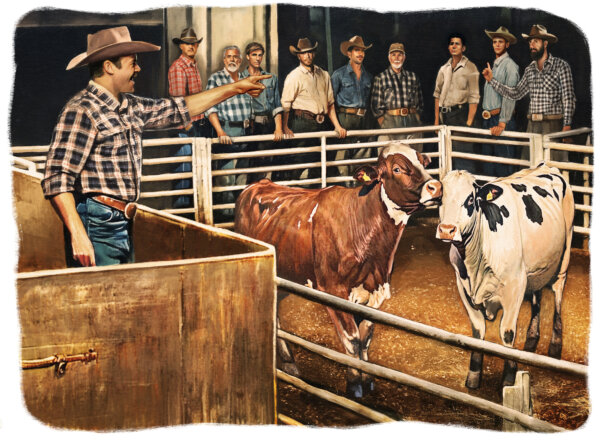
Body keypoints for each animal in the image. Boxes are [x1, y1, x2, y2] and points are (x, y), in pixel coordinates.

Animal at [234, 143, 440, 398]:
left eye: (423, 161)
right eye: (397, 168)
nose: (436, 187)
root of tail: (258, 185)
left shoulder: (373, 291)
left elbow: (365, 338)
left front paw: (367, 380)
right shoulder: (333, 290)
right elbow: (352, 340)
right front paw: (354, 385)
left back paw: (289, 363)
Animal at [438, 165, 576, 388]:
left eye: (470, 199)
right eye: (440, 197)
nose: (447, 230)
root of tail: (545, 166)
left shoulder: (515, 286)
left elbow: (507, 333)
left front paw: (510, 376)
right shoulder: (463, 286)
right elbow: (477, 331)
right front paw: (473, 376)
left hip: (566, 250)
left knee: (557, 291)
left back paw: (555, 345)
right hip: (536, 268)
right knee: (537, 295)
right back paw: (532, 338)